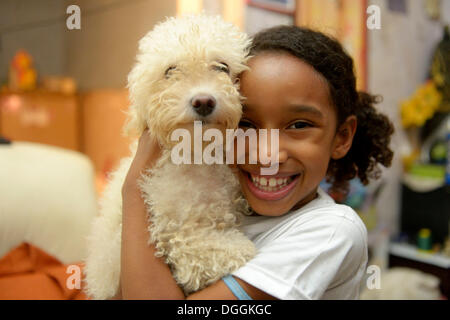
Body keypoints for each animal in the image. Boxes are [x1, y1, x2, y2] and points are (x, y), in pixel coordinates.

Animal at [82, 15, 255, 300]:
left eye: (222, 67)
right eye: (170, 71)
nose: (203, 101)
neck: (197, 156)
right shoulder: (174, 233)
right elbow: (213, 250)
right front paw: (242, 247)